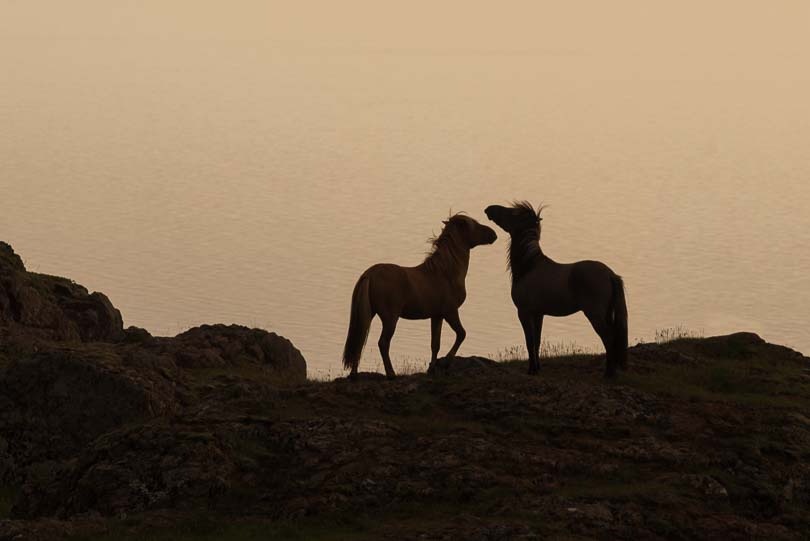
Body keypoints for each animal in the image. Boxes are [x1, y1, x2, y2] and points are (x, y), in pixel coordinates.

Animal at [340, 213, 496, 378]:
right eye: (474, 225)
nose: (493, 234)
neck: (445, 272)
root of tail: (369, 274)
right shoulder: (450, 312)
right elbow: (461, 334)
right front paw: (446, 363)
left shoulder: (437, 316)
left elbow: (435, 344)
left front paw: (432, 369)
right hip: (390, 318)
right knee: (383, 343)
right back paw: (391, 374)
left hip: (370, 314)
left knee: (360, 338)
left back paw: (354, 374)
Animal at [482, 201, 628, 376]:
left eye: (512, 213)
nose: (489, 209)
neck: (529, 266)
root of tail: (610, 274)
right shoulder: (538, 314)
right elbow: (537, 341)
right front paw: (537, 368)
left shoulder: (524, 312)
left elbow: (529, 342)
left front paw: (531, 370)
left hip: (595, 314)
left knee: (609, 338)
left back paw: (608, 374)